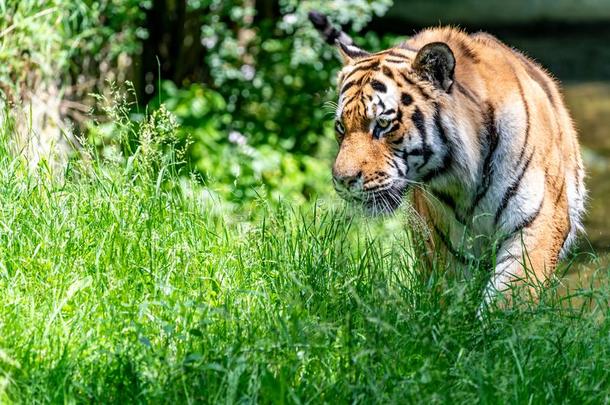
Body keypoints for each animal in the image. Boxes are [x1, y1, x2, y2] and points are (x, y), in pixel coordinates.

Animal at [308, 10, 584, 306]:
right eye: (341, 127)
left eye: (383, 124)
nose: (343, 180)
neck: (466, 179)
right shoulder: (443, 241)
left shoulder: (540, 221)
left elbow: (510, 292)